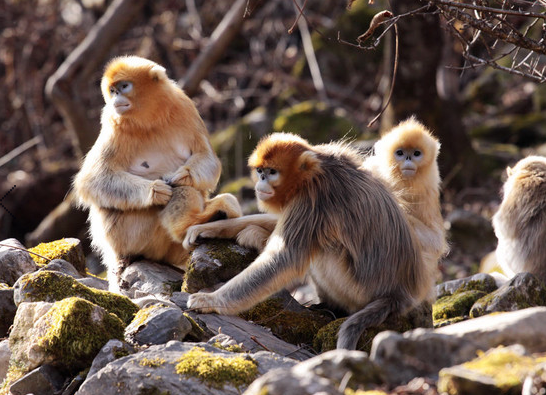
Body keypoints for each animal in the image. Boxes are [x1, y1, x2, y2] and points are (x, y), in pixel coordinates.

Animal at [73, 55, 240, 292]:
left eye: (124, 87)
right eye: (112, 90)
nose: (116, 98)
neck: (150, 118)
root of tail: (115, 254)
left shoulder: (184, 105)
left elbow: (206, 157)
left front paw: (184, 175)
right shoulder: (112, 121)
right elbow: (91, 181)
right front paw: (156, 191)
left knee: (185, 188)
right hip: (128, 235)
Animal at [185, 132, 432, 350]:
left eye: (272, 172)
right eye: (260, 171)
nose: (261, 181)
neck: (314, 171)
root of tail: (399, 295)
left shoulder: (312, 200)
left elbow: (285, 259)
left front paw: (210, 300)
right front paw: (208, 228)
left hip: (358, 292)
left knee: (322, 247)